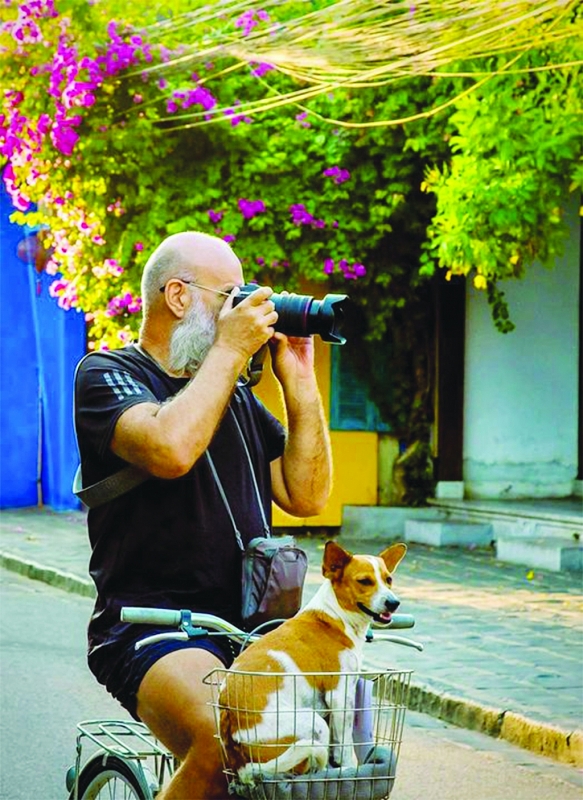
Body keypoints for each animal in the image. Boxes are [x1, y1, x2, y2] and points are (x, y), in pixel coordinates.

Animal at [218, 540, 406, 784]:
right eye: (365, 581)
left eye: (388, 580)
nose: (394, 603)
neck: (335, 617)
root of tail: (242, 764)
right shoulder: (339, 696)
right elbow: (345, 747)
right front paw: (347, 770)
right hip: (315, 724)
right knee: (308, 768)